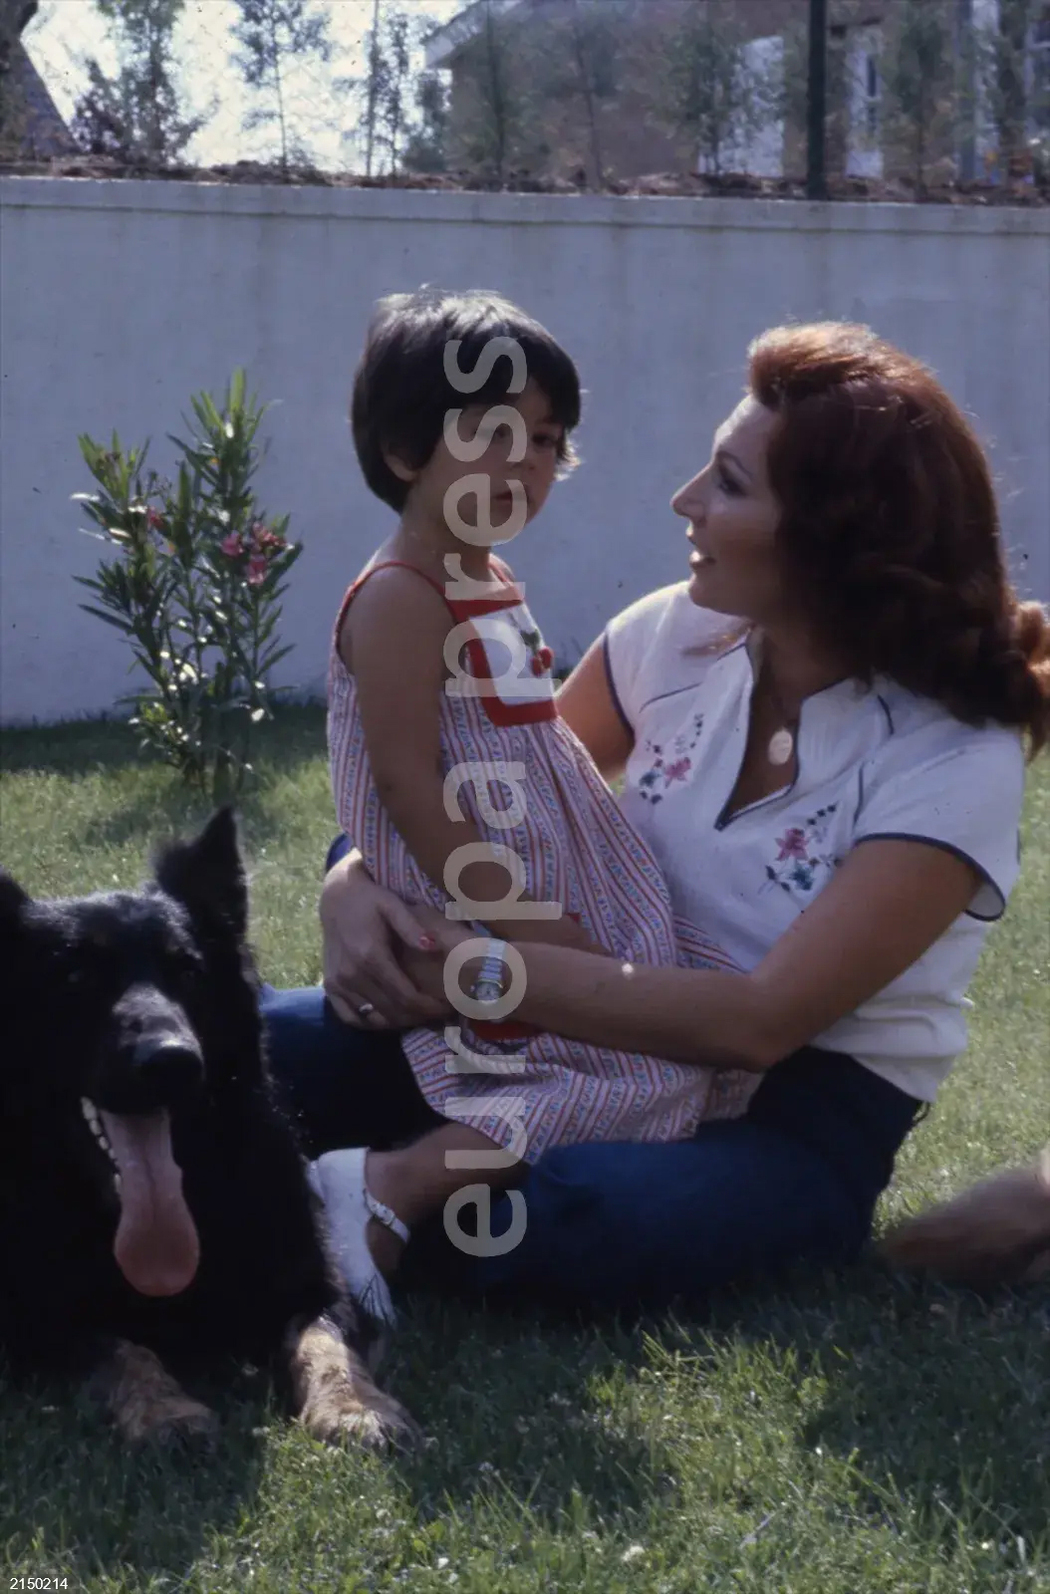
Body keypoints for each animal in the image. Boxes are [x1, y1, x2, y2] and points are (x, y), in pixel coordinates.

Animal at [0, 816, 417, 1453]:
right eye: (75, 976)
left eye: (188, 973)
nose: (171, 1061)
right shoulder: (41, 1317)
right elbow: (120, 1348)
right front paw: (164, 1410)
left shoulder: (312, 1279)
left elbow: (325, 1341)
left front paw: (353, 1406)